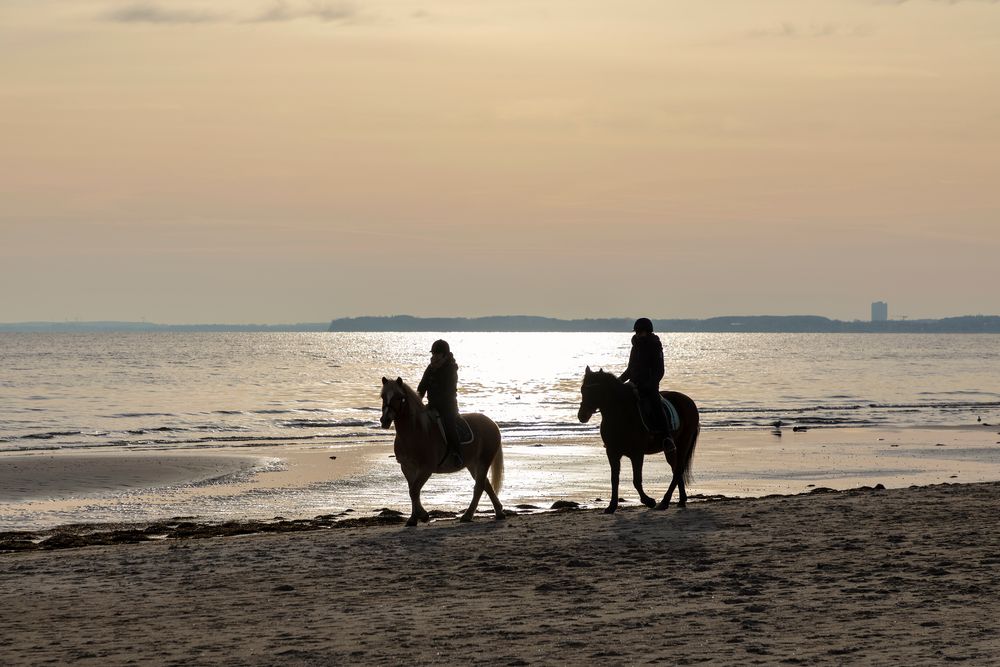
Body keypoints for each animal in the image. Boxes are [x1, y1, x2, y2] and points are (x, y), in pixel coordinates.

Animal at [378, 376, 504, 528]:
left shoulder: (426, 468)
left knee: (479, 487)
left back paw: (467, 515)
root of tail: (492, 423)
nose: (384, 420)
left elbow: (414, 491)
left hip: (484, 461)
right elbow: (412, 491)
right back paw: (499, 512)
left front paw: (423, 516)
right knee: (486, 485)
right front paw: (414, 518)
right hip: (473, 464)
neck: (415, 432)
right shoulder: (407, 467)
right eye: (383, 396)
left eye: (399, 397)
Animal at [580, 368, 704, 516]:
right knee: (676, 468)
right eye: (582, 390)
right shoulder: (612, 453)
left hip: (684, 442)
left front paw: (649, 501)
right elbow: (614, 479)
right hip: (671, 449)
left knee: (678, 469)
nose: (582, 416)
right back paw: (681, 500)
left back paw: (664, 502)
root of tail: (689, 401)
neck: (621, 414)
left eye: (596, 391)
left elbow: (636, 480)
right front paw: (612, 506)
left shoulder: (637, 454)